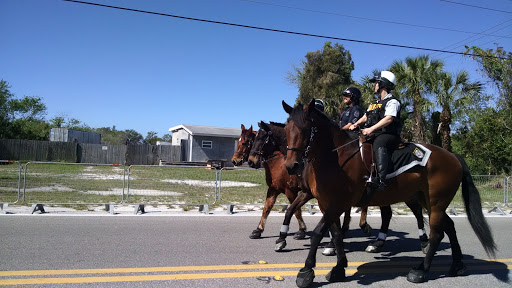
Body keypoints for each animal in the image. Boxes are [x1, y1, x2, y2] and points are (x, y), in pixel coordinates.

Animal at [248, 121, 428, 254]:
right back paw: (377, 242)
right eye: (252, 139)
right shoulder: (299, 191)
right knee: (387, 214)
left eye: (262, 137)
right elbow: (284, 209)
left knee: (415, 212)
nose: (250, 161)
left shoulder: (305, 193)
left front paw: (328, 241)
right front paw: (277, 238)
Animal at [282, 99, 494, 286]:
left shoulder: (338, 204)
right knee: (449, 226)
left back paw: (421, 270)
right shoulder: (327, 204)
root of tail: (452, 156)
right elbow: (335, 235)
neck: (337, 158)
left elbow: (319, 233)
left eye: (305, 129)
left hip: (436, 202)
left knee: (436, 234)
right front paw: (339, 268)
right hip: (429, 201)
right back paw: (457, 264)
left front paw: (306, 271)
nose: (291, 166)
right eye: (286, 130)